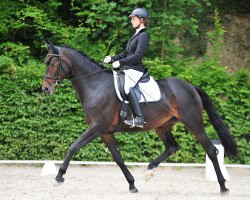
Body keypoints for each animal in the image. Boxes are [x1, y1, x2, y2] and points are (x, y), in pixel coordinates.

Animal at [42, 41, 237, 194]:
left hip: (193, 123)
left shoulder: (97, 127)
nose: (45, 89)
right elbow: (118, 159)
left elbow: (73, 147)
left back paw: (223, 187)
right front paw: (132, 185)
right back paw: (149, 170)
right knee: (172, 147)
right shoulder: (105, 132)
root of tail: (190, 86)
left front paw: (59, 177)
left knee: (211, 150)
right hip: (163, 126)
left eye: (52, 63)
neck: (95, 85)